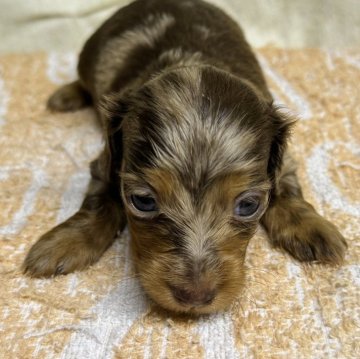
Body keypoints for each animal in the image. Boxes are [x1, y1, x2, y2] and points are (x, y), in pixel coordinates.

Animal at [22, 0, 346, 316]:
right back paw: (66, 95)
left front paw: (312, 228)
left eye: (248, 205)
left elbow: (288, 188)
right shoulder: (105, 163)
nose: (195, 297)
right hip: (91, 54)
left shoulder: (284, 161)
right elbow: (97, 202)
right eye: (143, 201)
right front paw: (64, 242)